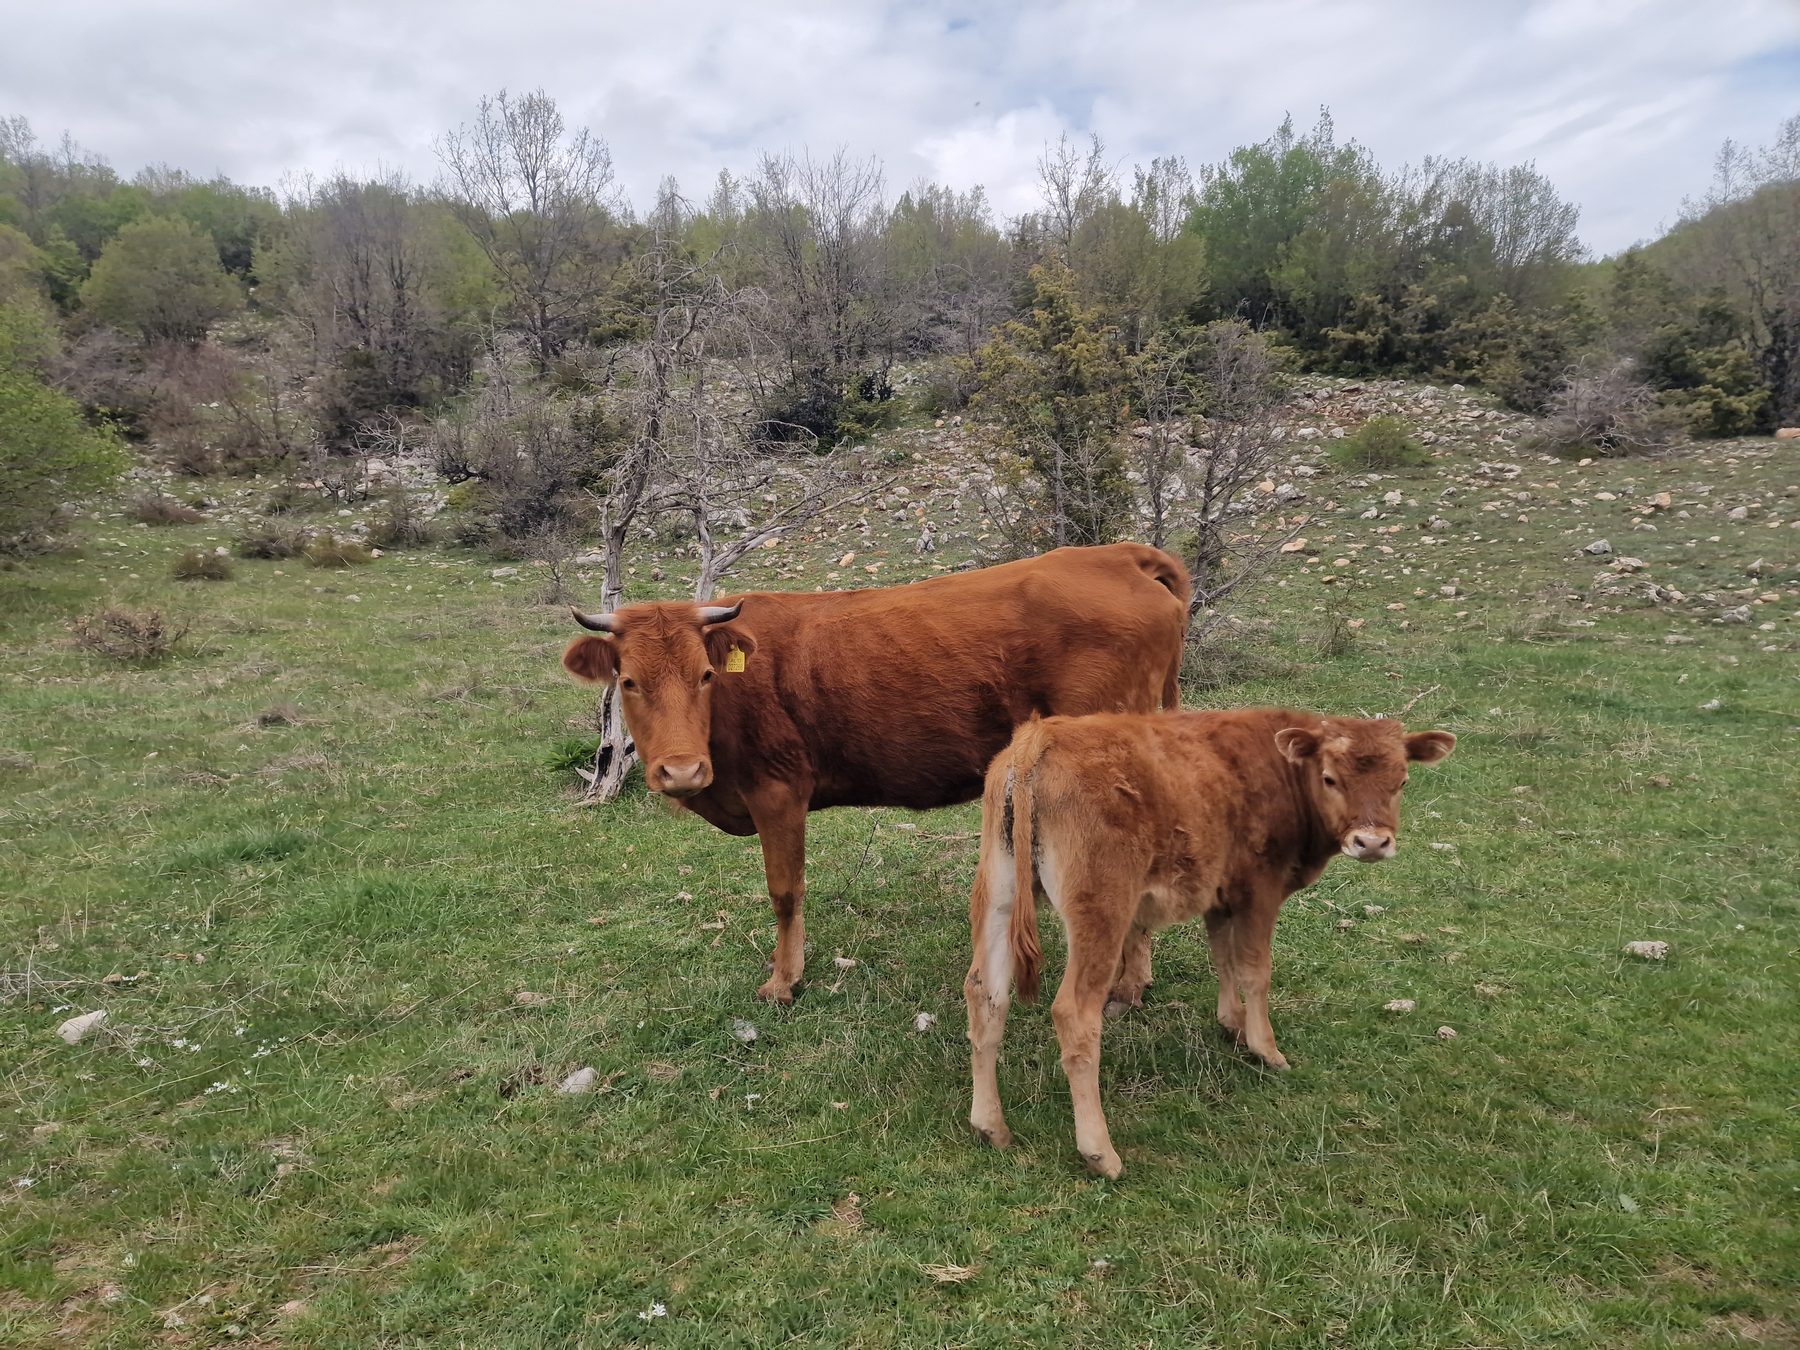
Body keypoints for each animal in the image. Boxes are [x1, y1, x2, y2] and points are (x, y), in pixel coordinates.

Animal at [561, 543, 1191, 1004]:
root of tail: (1118, 555)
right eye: (628, 681)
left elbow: (785, 891)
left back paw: (1126, 986)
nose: (682, 770)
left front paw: (783, 981)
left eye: (706, 676)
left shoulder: (777, 791)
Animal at [964, 708, 1456, 1179]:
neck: (1279, 767)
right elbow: (1255, 969)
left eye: (1402, 780)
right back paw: (1100, 1153)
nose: (1372, 842)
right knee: (1075, 1015)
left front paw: (1232, 1023)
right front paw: (1266, 1048)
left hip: (999, 893)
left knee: (986, 994)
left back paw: (992, 1127)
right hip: (1100, 910)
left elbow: (1225, 958)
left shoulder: (1220, 895)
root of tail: (1040, 737)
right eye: (1330, 777)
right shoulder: (1260, 889)